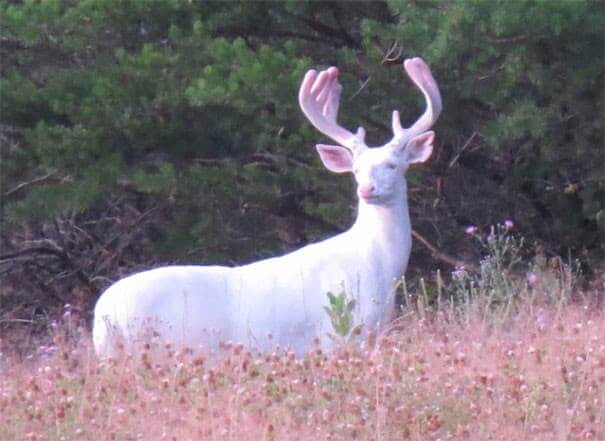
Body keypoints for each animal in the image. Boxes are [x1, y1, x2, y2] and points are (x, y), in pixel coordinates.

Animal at [92, 56, 438, 356]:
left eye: (393, 165)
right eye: (356, 169)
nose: (367, 189)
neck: (378, 263)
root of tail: (103, 315)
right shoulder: (338, 334)